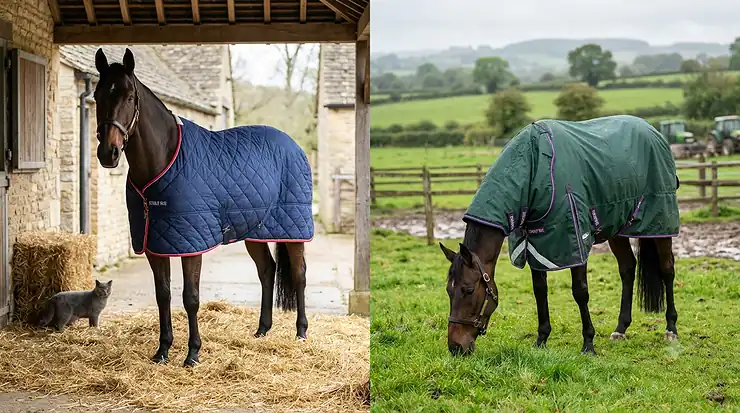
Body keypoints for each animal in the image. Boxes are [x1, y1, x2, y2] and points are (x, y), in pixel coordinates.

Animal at [92, 48, 314, 367]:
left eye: (130, 97)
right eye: (97, 95)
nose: (108, 153)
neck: (164, 161)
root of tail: (293, 146)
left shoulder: (191, 244)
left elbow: (191, 298)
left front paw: (193, 354)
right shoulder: (155, 243)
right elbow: (163, 295)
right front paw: (162, 351)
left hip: (293, 229)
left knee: (299, 274)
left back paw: (301, 332)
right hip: (255, 232)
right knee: (267, 271)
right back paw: (262, 330)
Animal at [440, 115, 681, 356]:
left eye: (469, 290)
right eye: (448, 290)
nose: (456, 347)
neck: (533, 168)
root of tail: (652, 130)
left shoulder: (576, 240)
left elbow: (580, 292)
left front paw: (588, 344)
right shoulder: (535, 245)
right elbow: (540, 291)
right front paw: (541, 339)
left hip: (660, 224)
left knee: (667, 269)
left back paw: (671, 329)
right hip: (617, 228)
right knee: (628, 269)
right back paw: (620, 329)